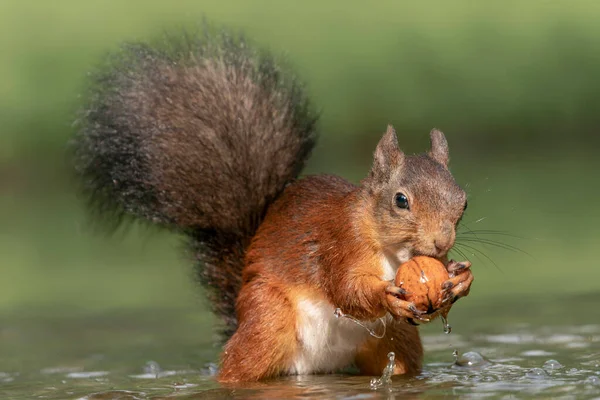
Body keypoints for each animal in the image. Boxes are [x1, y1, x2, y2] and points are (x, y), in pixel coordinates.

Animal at [71, 26, 474, 382]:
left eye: (464, 202)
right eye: (401, 200)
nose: (442, 242)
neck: (392, 251)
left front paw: (460, 277)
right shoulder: (338, 243)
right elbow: (347, 290)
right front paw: (386, 294)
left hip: (396, 340)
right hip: (268, 319)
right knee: (239, 365)